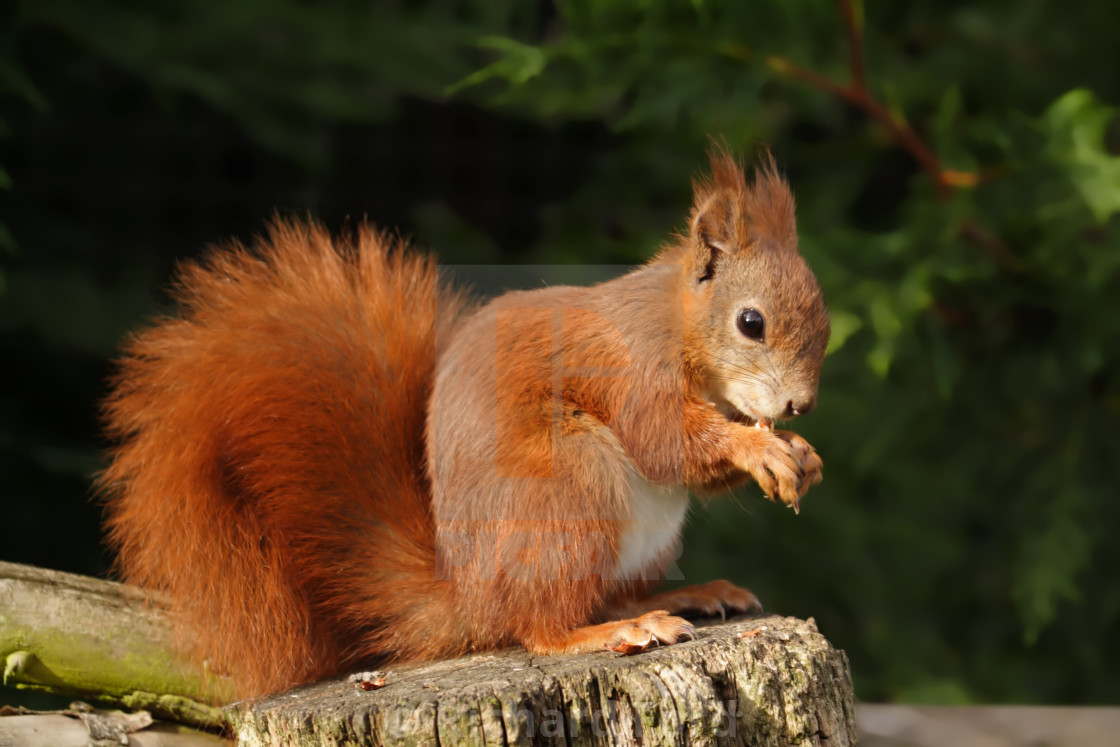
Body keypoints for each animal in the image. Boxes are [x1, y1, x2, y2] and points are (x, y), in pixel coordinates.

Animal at [98, 150, 833, 703]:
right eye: (750, 322)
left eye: (824, 324)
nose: (798, 406)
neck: (678, 323)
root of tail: (470, 594)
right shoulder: (630, 368)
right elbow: (665, 442)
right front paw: (759, 447)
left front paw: (801, 453)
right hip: (568, 485)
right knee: (541, 625)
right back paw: (618, 631)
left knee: (599, 595)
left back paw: (692, 593)